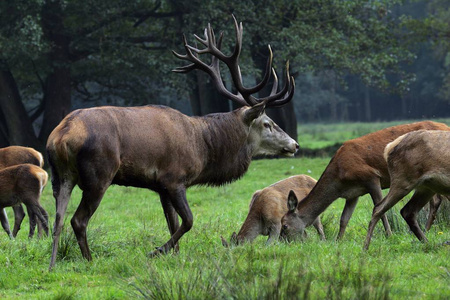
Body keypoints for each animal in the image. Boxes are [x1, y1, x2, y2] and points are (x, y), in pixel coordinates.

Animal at [46, 15, 298, 270]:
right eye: (267, 123)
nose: (295, 144)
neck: (203, 148)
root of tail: (60, 136)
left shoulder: (161, 187)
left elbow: (172, 223)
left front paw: (174, 257)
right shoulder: (174, 179)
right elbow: (188, 221)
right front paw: (157, 251)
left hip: (61, 176)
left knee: (57, 219)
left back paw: (52, 264)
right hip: (98, 175)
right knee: (78, 220)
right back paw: (89, 260)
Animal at [280, 120, 448, 241]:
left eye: (285, 226)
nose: (282, 241)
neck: (339, 176)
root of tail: (446, 126)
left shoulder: (371, 177)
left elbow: (380, 209)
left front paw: (389, 235)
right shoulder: (352, 194)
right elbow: (344, 219)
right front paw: (338, 241)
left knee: (435, 201)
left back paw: (425, 229)